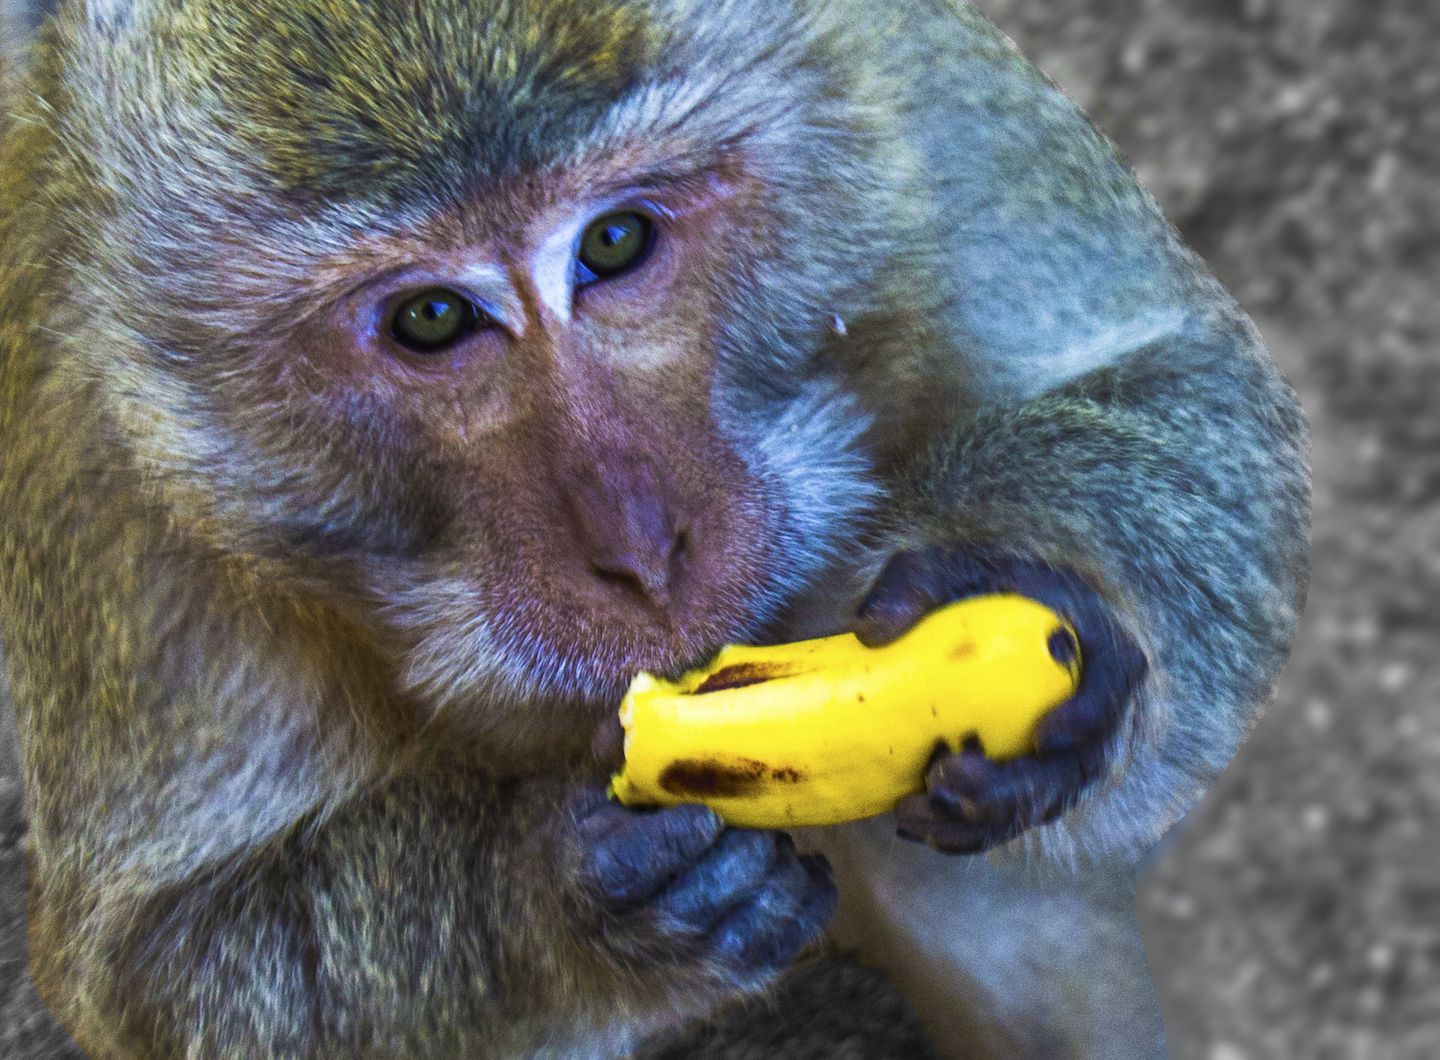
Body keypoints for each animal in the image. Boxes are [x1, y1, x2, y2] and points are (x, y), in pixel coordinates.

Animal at [0, 0, 1310, 1056]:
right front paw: (551, 890)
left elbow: (1197, 384)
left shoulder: (885, 83)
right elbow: (167, 963)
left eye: (615, 241)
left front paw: (1055, 608)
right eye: (431, 318)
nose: (641, 549)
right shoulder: (88, 445)